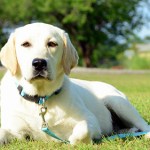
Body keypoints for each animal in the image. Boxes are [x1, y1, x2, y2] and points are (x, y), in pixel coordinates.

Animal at [0, 22, 150, 145]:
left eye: (52, 44)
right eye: (25, 44)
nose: (39, 63)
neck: (40, 98)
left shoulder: (91, 119)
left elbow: (83, 129)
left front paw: (74, 140)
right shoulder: (15, 129)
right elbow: (4, 132)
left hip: (118, 102)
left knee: (144, 125)